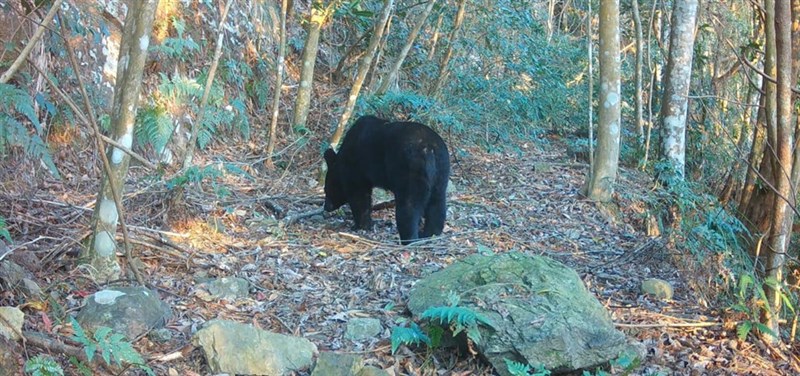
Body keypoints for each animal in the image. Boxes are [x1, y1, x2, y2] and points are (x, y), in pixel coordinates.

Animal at [324, 114, 450, 245]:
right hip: (441, 170)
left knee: (409, 206)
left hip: (411, 169)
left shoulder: (356, 168)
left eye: (326, 189)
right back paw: (431, 234)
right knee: (437, 202)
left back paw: (408, 238)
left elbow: (358, 197)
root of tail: (429, 149)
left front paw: (360, 225)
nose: (326, 207)